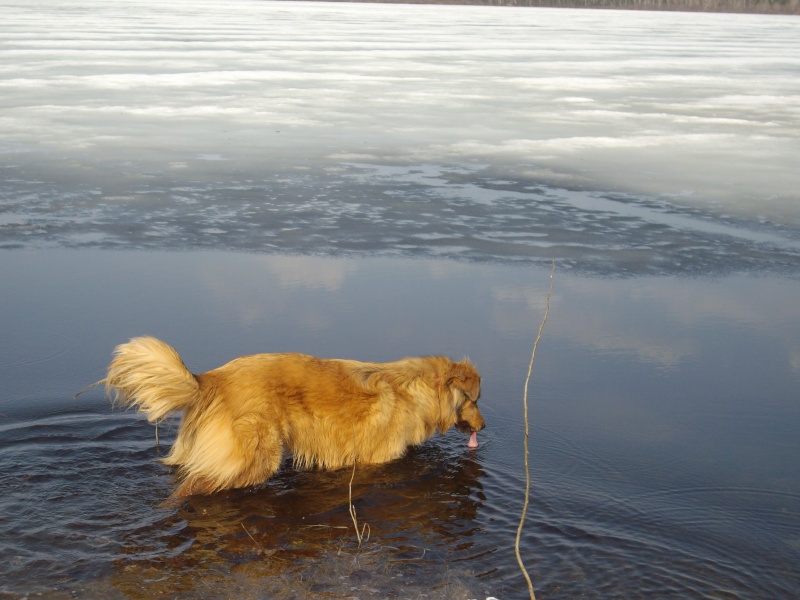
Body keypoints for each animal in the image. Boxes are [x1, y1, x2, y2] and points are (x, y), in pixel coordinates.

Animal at [104, 338, 484, 496]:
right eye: (476, 399)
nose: (485, 426)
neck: (416, 389)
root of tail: (209, 379)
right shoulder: (378, 459)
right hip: (254, 458)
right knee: (192, 488)